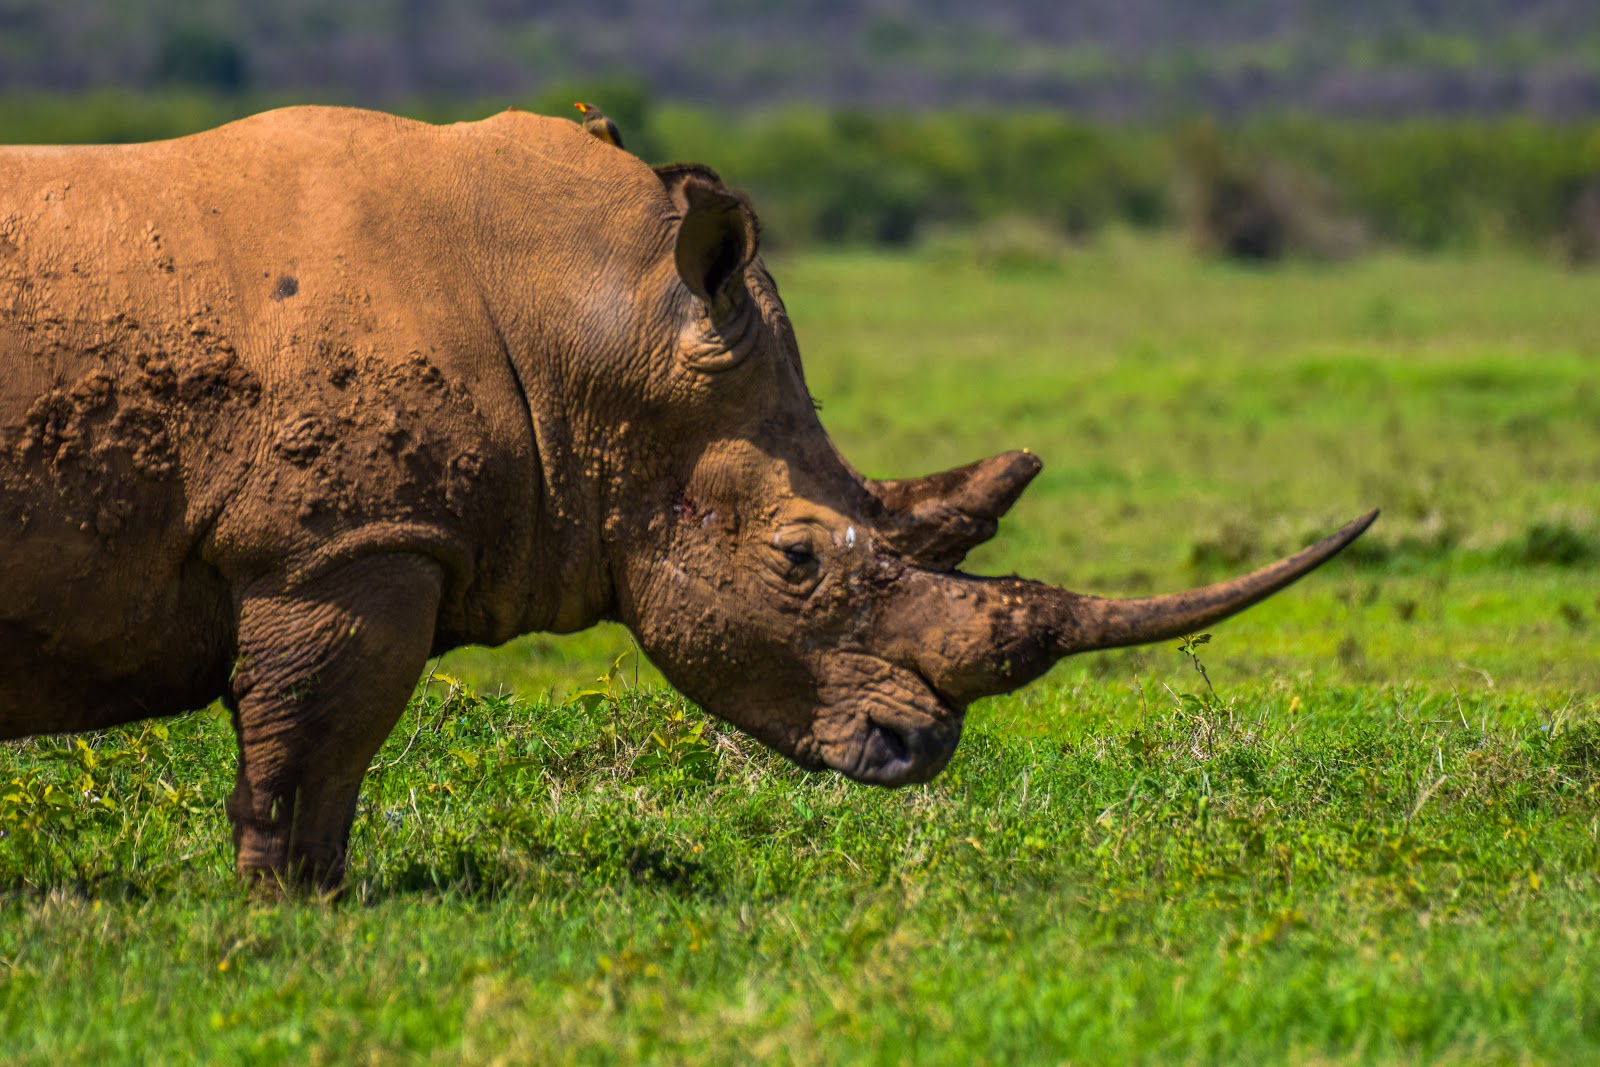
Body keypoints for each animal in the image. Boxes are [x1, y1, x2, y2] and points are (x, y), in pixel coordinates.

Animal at [0, 106, 1375, 887]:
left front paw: (315, 906)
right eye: (798, 561)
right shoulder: (342, 543)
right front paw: (292, 913)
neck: (589, 324)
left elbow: (316, 752)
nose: (919, 750)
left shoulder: (344, 543)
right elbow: (312, 749)